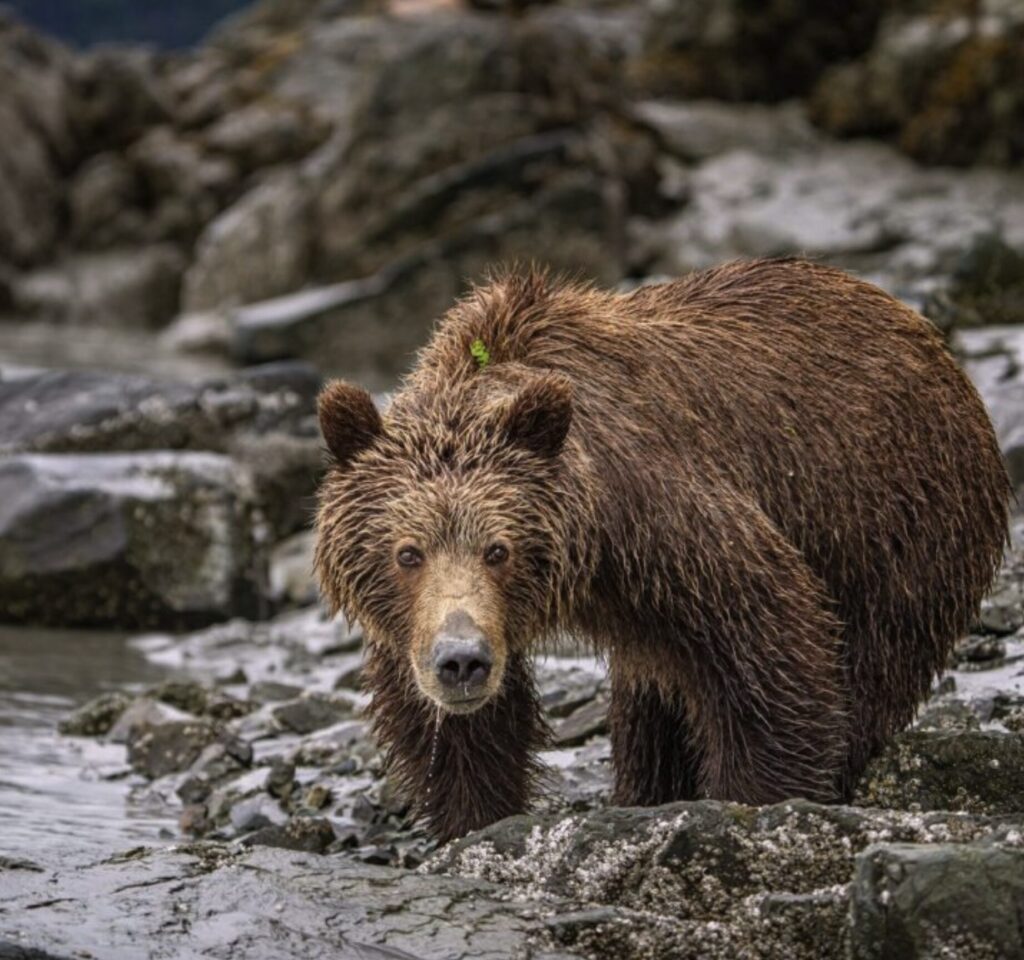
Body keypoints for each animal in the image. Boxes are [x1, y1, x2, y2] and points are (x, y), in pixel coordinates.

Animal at [311, 255, 1007, 839]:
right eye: (407, 552)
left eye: (498, 549)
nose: (463, 660)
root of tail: (924, 334)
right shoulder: (417, 627)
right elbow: (459, 733)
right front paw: (472, 819)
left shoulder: (663, 520)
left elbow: (767, 638)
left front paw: (753, 797)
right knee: (654, 693)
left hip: (894, 525)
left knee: (868, 666)